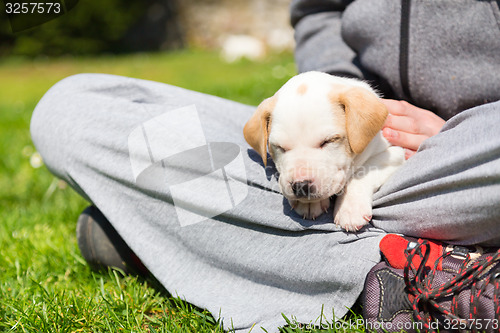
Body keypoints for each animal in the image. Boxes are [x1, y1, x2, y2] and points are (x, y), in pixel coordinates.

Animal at [244, 71, 404, 230]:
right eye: (279, 147)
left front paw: (350, 209)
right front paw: (309, 203)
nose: (301, 186)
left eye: (329, 141)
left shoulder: (395, 153)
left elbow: (363, 172)